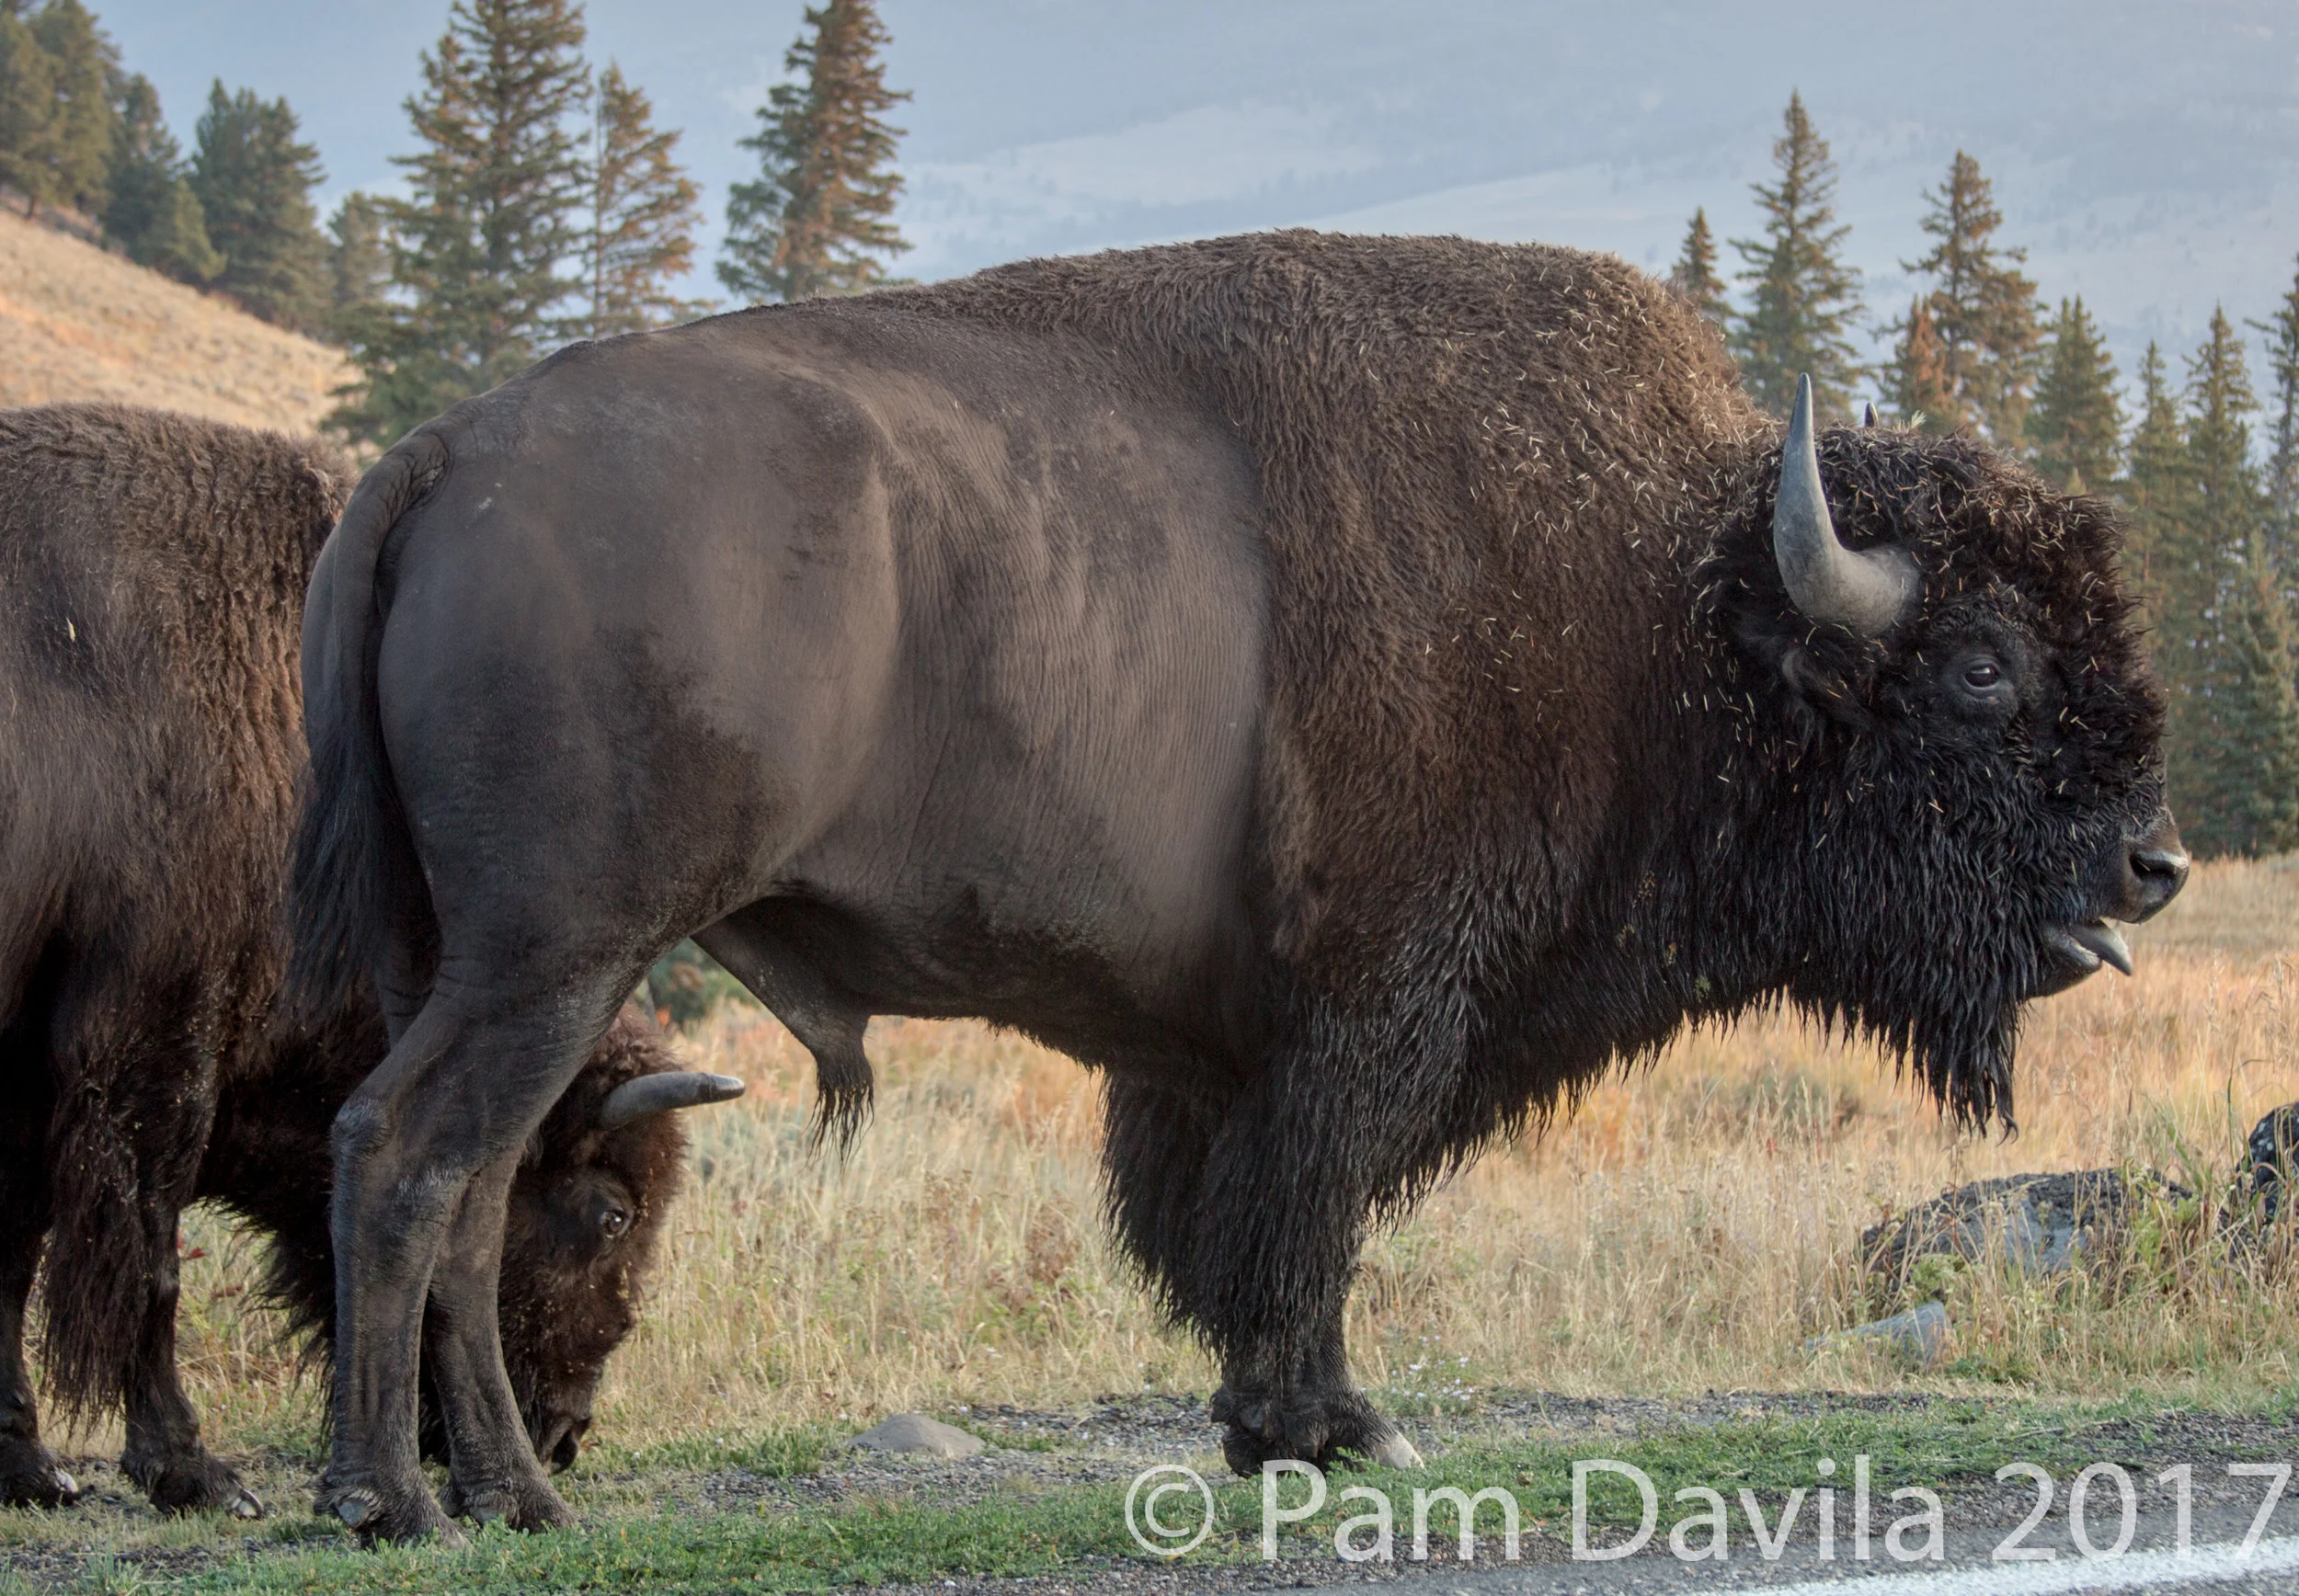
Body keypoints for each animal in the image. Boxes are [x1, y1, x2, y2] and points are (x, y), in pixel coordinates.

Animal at [0, 404, 739, 1515]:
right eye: (612, 1214)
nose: (564, 1432)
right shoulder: (153, 1043)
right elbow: (149, 1256)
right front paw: (195, 1471)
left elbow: (11, 1257)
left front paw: (29, 1466)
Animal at [291, 232, 2184, 1543]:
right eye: (1986, 669)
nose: (2152, 862)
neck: (1670, 599)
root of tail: (438, 456)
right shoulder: (1373, 1008)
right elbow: (1308, 1220)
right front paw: (1329, 1427)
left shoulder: (1220, 1054)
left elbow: (1234, 1222)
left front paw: (1269, 1420)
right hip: (557, 952)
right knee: (408, 1155)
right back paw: (409, 1502)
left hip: (486, 961)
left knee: (467, 1182)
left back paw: (486, 1494)